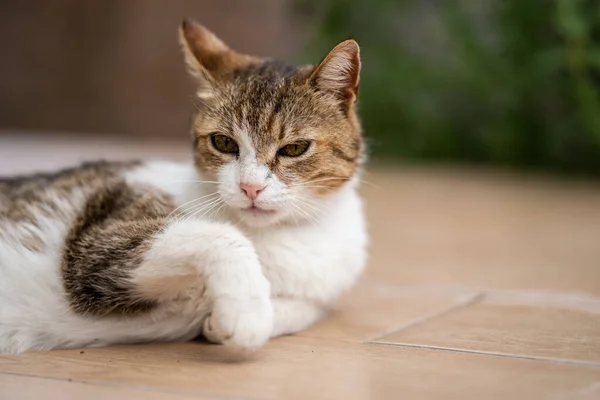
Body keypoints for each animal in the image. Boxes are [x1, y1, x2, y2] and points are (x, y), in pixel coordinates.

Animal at [0, 19, 366, 354]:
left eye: (294, 148)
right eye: (223, 142)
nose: (250, 187)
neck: (281, 236)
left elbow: (308, 310)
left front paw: (222, 321)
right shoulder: (97, 246)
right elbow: (221, 236)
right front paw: (247, 315)